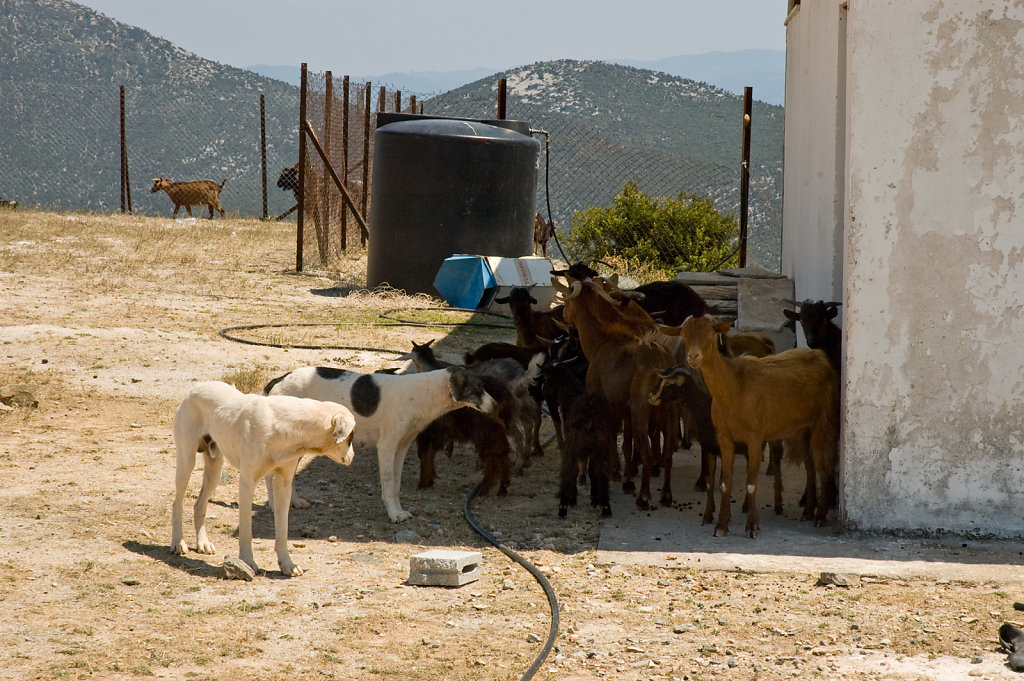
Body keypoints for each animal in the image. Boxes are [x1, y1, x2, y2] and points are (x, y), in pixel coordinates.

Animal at [172, 378, 356, 577]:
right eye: (352, 435)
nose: (353, 457)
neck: (288, 427)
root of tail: (196, 387)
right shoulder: (247, 483)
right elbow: (246, 530)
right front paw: (248, 561)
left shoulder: (284, 484)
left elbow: (282, 530)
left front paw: (287, 564)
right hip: (186, 462)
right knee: (177, 503)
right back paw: (178, 543)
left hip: (215, 469)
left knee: (199, 505)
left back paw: (202, 543)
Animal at [262, 366, 497, 520]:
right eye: (478, 387)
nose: (496, 406)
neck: (422, 393)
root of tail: (278, 379)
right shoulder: (386, 447)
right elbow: (388, 482)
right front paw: (393, 514)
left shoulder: (401, 448)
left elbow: (396, 484)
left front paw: (398, 510)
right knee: (271, 476)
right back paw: (275, 506)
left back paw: (293, 501)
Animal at [675, 313, 835, 536]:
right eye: (684, 334)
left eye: (710, 334)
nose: (693, 357)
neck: (734, 386)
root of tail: (821, 357)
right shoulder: (724, 437)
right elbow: (725, 482)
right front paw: (721, 526)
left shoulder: (754, 438)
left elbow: (751, 483)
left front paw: (751, 526)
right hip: (803, 428)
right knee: (810, 467)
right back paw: (808, 511)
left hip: (823, 421)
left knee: (823, 466)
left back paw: (819, 516)